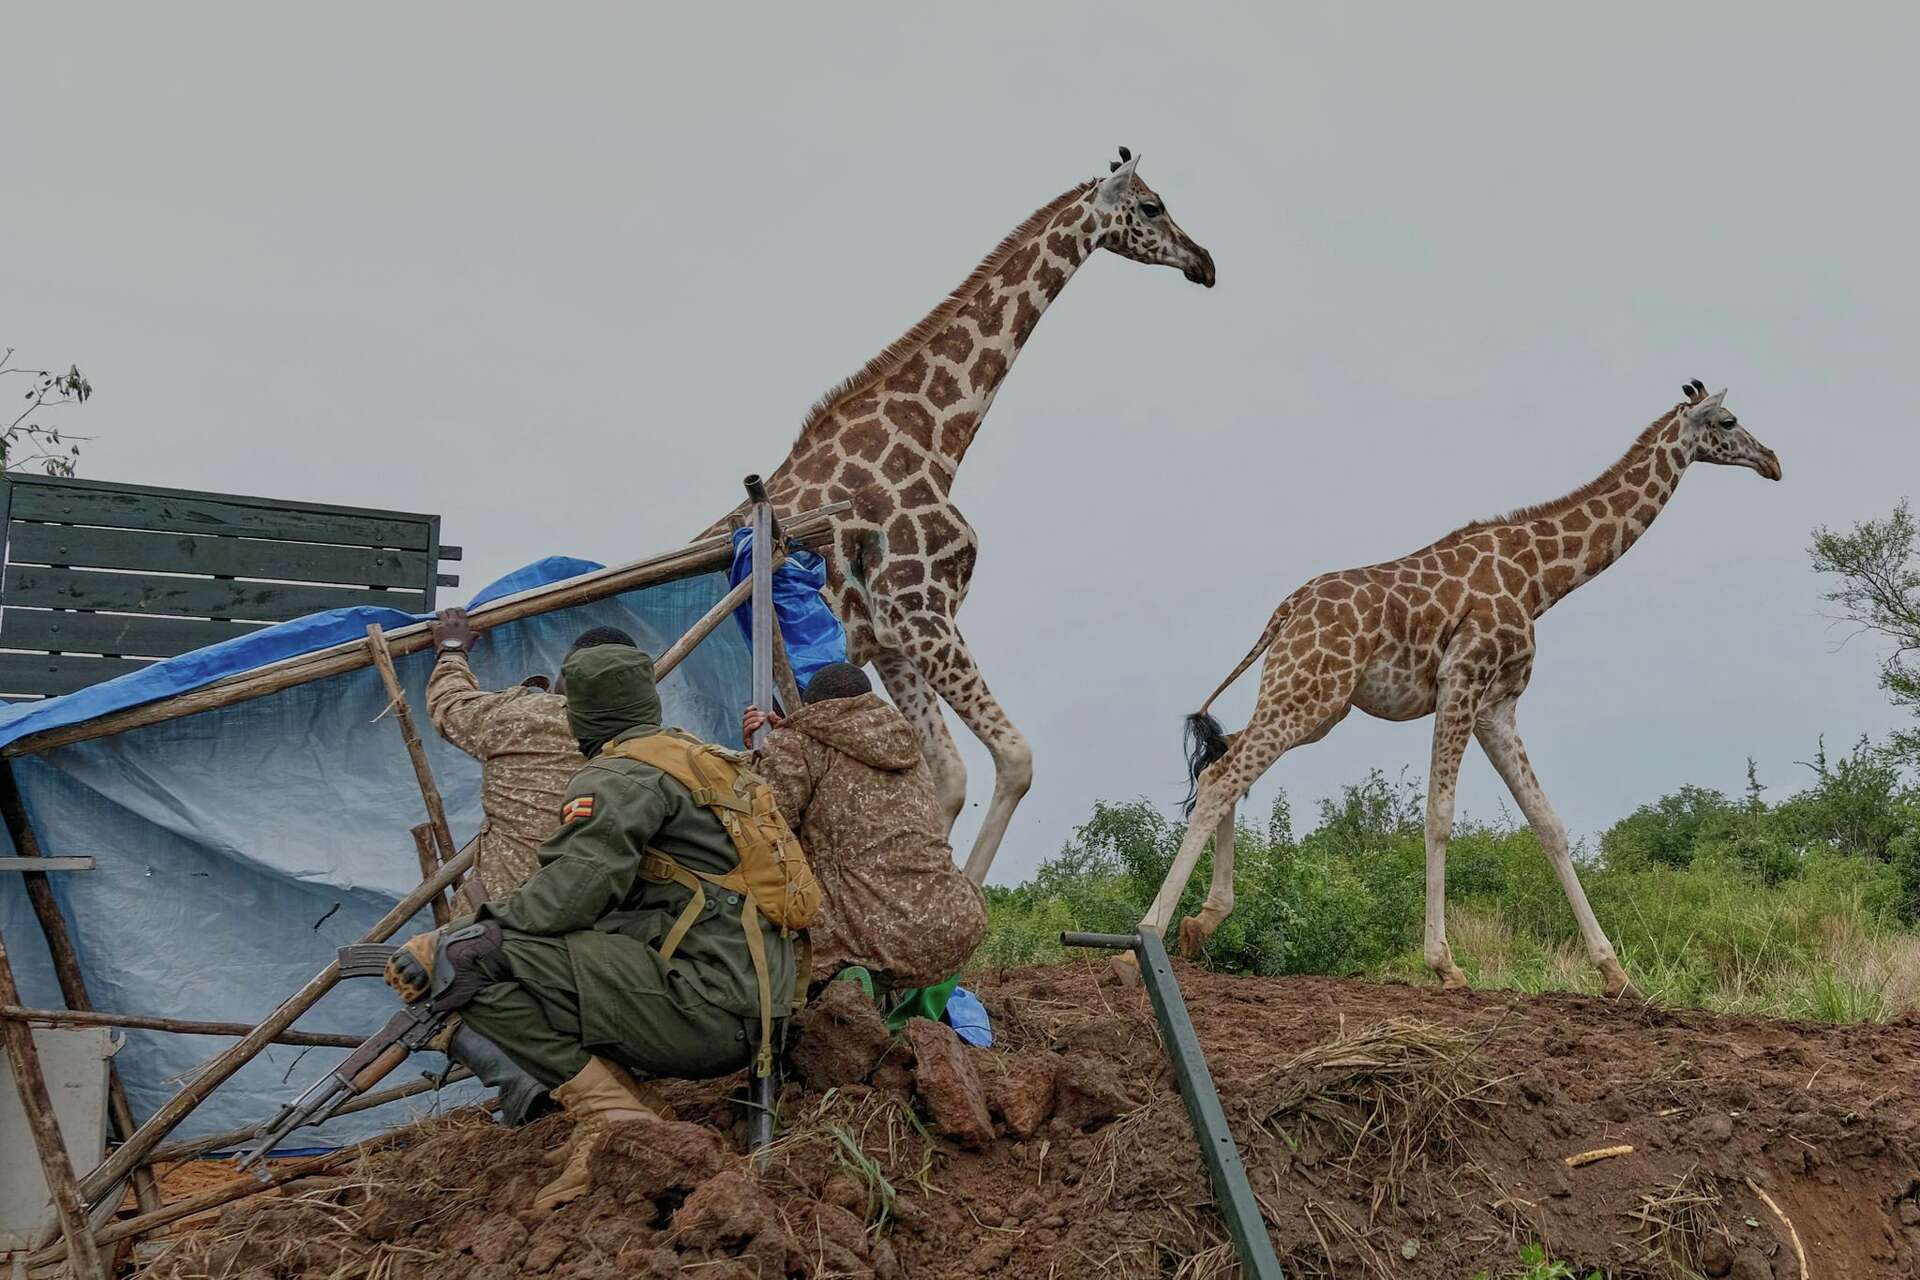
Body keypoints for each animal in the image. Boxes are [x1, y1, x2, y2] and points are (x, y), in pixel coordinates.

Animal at [706, 149, 1215, 885]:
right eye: (1152, 205)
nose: (1205, 261)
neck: (935, 438)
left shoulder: (894, 637)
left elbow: (944, 778)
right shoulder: (923, 614)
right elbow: (1015, 757)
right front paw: (964, 901)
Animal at [1139, 381, 1782, 997]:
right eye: (1728, 421)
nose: (1772, 461)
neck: (1540, 578)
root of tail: (1285, 611)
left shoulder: (1498, 705)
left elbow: (1548, 822)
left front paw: (1614, 972)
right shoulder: (1461, 682)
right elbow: (1440, 816)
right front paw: (1444, 964)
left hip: (1314, 701)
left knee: (1223, 761)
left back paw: (1200, 924)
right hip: (1311, 691)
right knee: (1225, 775)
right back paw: (1146, 935)